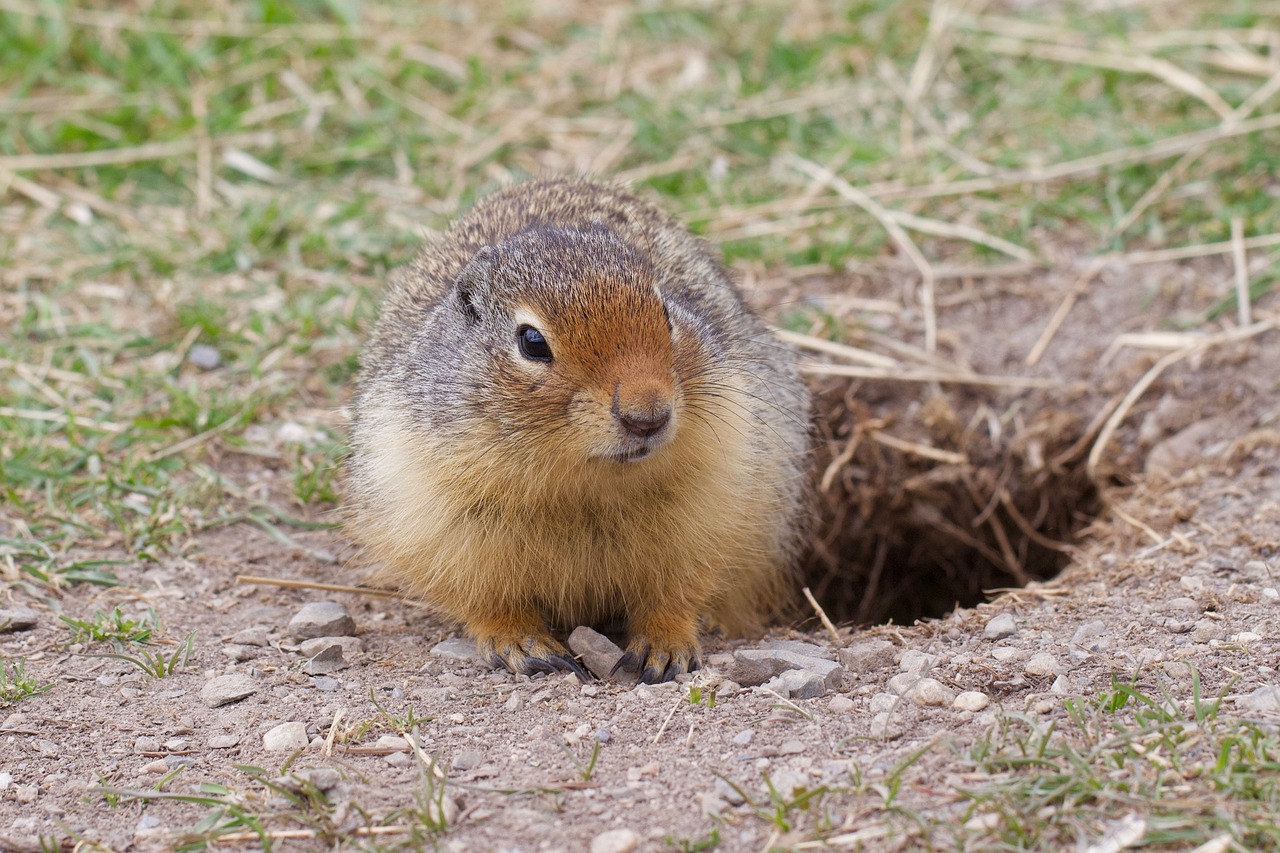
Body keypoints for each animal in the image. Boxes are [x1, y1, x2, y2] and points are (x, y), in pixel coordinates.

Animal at [348, 175, 808, 681]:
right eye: (532, 341)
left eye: (667, 313)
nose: (648, 416)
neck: (586, 484)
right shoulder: (441, 517)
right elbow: (487, 598)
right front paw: (523, 645)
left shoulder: (712, 503)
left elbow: (676, 590)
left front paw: (665, 648)